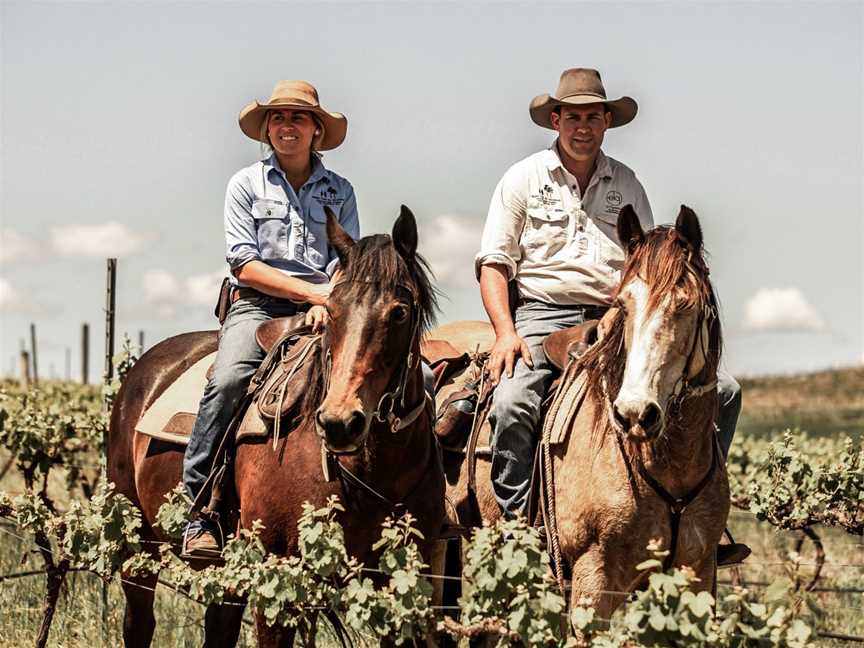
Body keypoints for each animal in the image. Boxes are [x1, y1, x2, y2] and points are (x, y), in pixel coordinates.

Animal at [109, 208, 446, 648]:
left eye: (399, 311)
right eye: (331, 310)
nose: (340, 423)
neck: (369, 474)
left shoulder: (403, 583)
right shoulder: (279, 580)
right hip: (137, 547)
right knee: (139, 623)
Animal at [438, 205, 728, 624]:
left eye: (686, 303)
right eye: (623, 305)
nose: (635, 413)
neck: (667, 468)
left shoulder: (697, 576)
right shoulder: (594, 577)